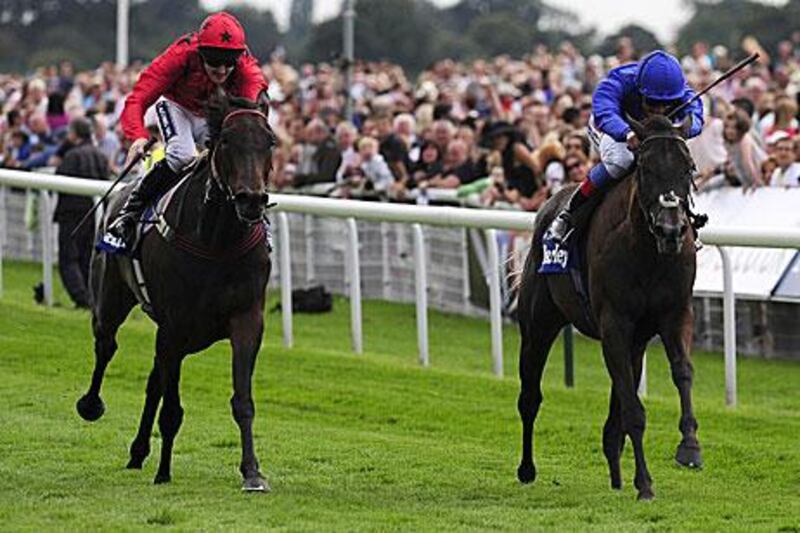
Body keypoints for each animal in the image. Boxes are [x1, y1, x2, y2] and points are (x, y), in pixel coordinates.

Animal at [76, 93, 276, 488]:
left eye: (270, 142)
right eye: (225, 140)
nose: (251, 200)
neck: (217, 240)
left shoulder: (247, 318)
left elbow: (242, 400)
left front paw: (252, 472)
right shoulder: (175, 325)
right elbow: (171, 409)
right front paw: (164, 472)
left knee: (154, 380)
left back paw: (139, 451)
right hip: (110, 300)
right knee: (106, 347)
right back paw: (92, 406)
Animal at [520, 113, 700, 498]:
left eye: (689, 167)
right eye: (645, 168)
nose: (671, 230)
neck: (648, 253)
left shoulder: (675, 314)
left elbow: (682, 372)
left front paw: (690, 447)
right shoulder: (614, 322)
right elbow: (633, 411)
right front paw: (645, 483)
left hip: (634, 344)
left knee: (616, 409)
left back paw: (617, 477)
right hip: (539, 324)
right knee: (529, 397)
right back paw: (526, 469)